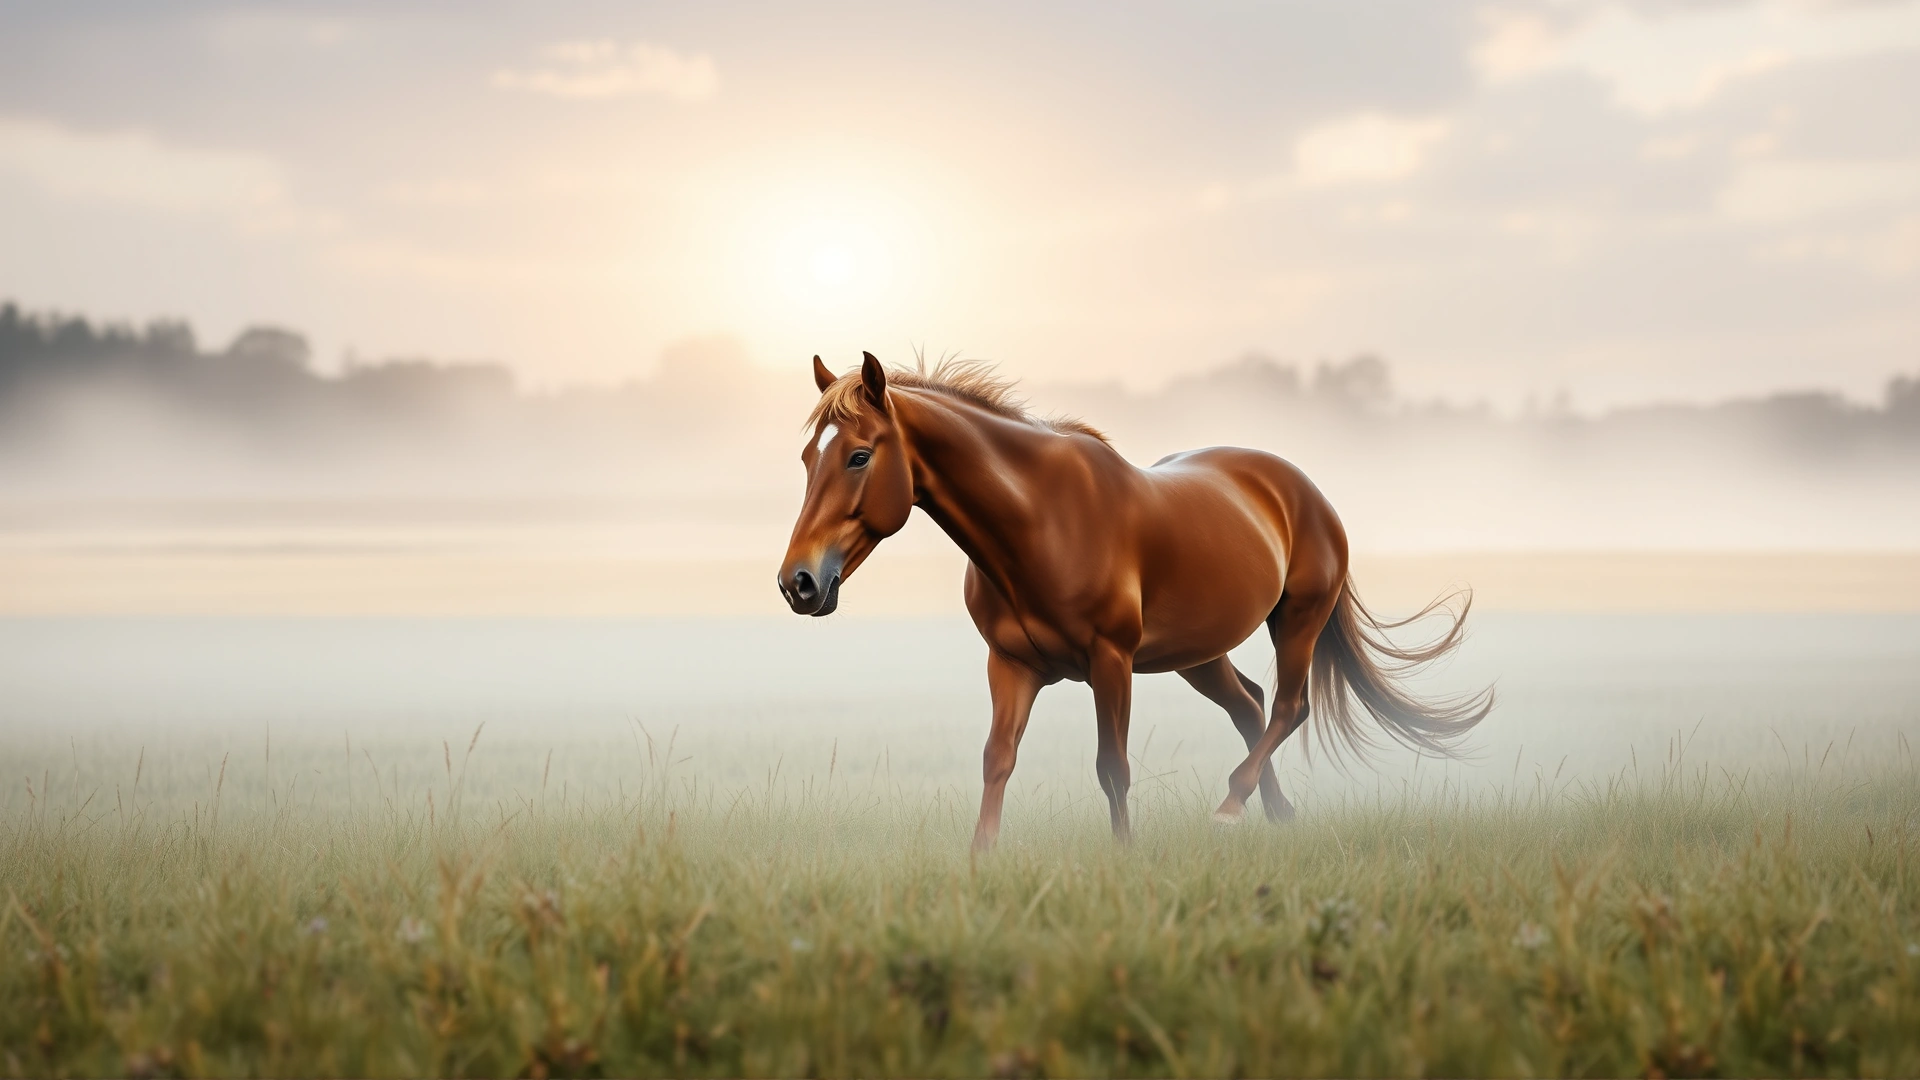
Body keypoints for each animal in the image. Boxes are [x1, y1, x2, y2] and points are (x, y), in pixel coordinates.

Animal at [778, 352, 1493, 850]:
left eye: (860, 456)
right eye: (808, 458)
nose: (798, 583)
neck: (1039, 521)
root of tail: (1302, 488)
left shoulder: (1110, 661)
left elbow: (1112, 766)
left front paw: (1124, 856)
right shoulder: (1011, 666)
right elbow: (996, 760)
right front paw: (980, 860)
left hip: (1296, 620)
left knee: (1289, 705)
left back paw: (1230, 809)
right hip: (1199, 654)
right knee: (1251, 706)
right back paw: (1276, 814)